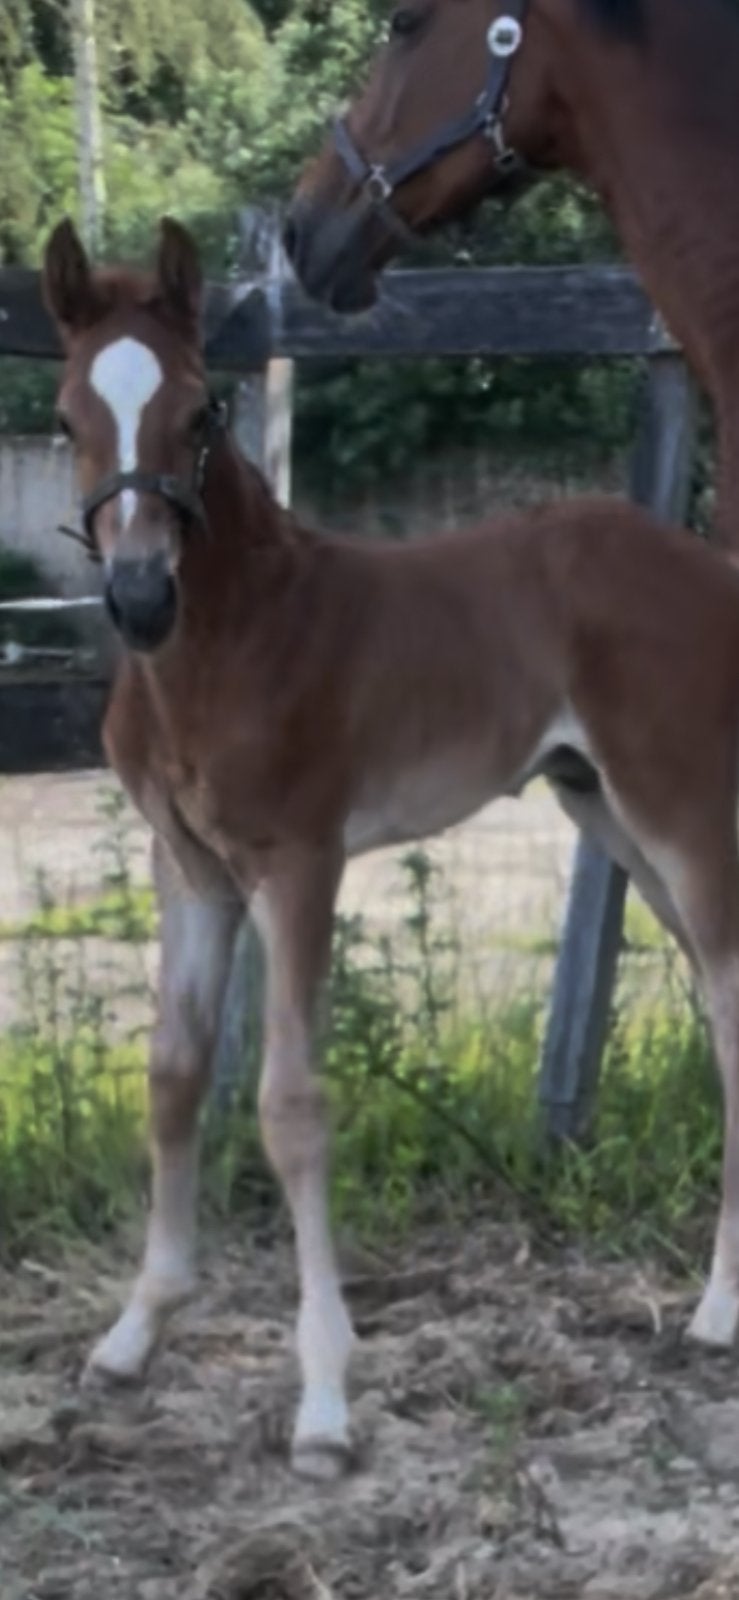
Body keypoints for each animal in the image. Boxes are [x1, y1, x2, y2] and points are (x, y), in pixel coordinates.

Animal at [43, 213, 739, 1479]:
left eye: (199, 411)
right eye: (69, 417)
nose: (138, 597)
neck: (222, 640)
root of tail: (708, 565)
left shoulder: (299, 861)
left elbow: (289, 1104)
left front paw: (324, 1401)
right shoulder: (190, 869)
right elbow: (173, 1077)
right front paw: (132, 1334)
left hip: (679, 805)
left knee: (730, 996)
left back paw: (718, 1308)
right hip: (605, 812)